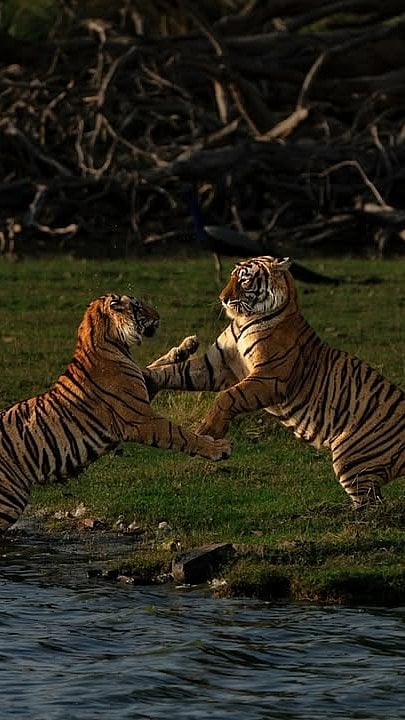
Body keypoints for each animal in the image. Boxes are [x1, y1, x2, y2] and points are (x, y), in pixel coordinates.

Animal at [0, 294, 231, 533]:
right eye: (138, 306)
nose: (158, 317)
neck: (110, 341)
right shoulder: (140, 418)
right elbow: (180, 434)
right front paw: (218, 448)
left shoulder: (143, 386)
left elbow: (156, 365)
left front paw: (186, 346)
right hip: (9, 499)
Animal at [143, 256, 405, 507]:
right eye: (231, 278)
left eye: (244, 281)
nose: (223, 299)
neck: (243, 321)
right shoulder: (217, 366)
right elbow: (175, 373)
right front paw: (147, 377)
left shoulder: (269, 378)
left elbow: (227, 397)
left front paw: (208, 431)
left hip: (351, 461)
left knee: (373, 506)